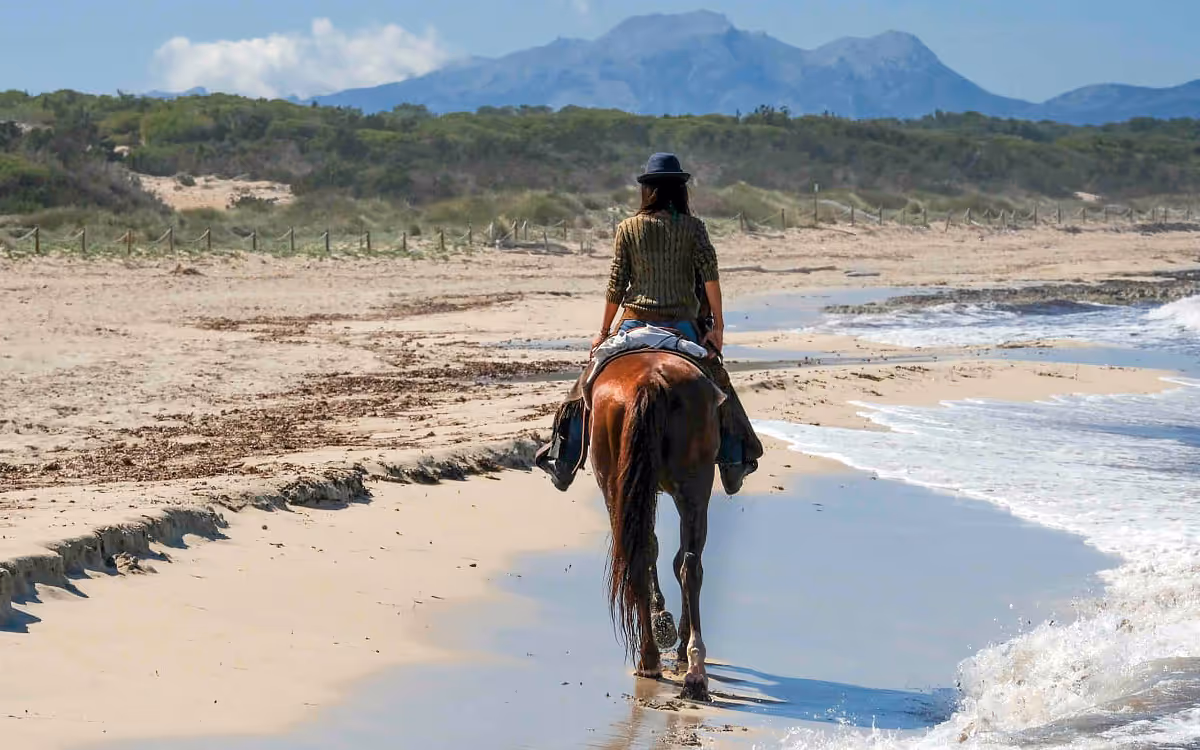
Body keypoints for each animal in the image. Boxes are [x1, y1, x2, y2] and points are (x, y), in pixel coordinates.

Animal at [588, 350, 725, 701]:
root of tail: (650, 382)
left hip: (618, 485)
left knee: (648, 562)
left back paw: (654, 660)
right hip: (693, 486)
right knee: (690, 566)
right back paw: (691, 668)